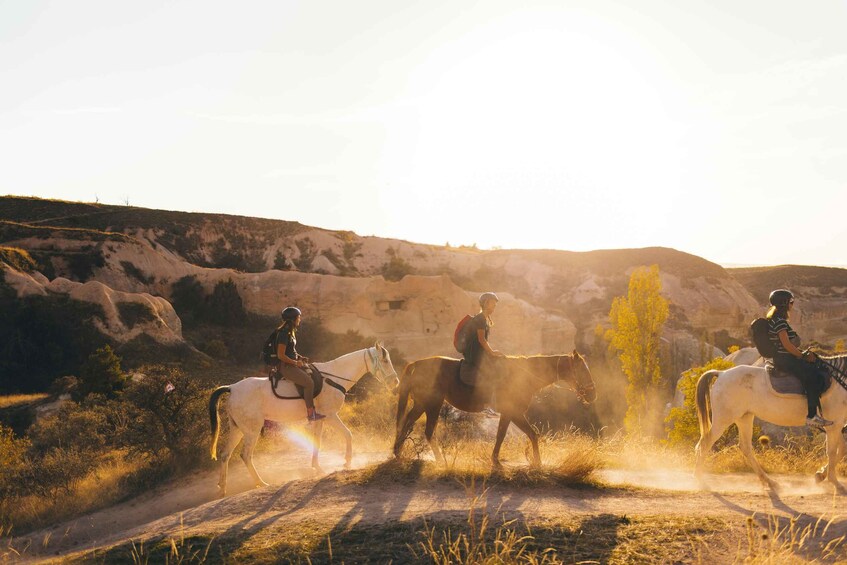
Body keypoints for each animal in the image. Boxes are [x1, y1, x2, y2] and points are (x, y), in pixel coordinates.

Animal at [210, 340, 400, 494]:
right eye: (385, 360)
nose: (395, 382)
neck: (333, 378)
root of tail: (232, 388)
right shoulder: (331, 416)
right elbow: (348, 434)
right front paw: (347, 462)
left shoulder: (320, 419)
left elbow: (317, 441)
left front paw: (317, 467)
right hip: (252, 430)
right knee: (245, 455)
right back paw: (261, 483)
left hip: (237, 429)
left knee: (225, 454)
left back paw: (222, 488)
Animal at [392, 352, 596, 468]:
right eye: (582, 370)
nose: (593, 395)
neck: (525, 375)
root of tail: (416, 365)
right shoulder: (513, 412)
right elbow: (522, 434)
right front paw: (533, 461)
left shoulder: (510, 414)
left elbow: (513, 434)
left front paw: (528, 460)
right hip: (432, 404)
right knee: (427, 430)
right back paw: (439, 460)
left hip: (422, 404)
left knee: (406, 422)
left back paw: (397, 451)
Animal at [696, 354, 847, 492]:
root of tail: (721, 374)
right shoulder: (834, 425)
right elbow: (832, 452)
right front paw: (835, 483)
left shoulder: (836, 425)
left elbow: (842, 450)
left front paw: (820, 475)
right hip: (723, 419)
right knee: (705, 443)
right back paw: (701, 481)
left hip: (744, 418)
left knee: (745, 447)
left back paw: (769, 482)